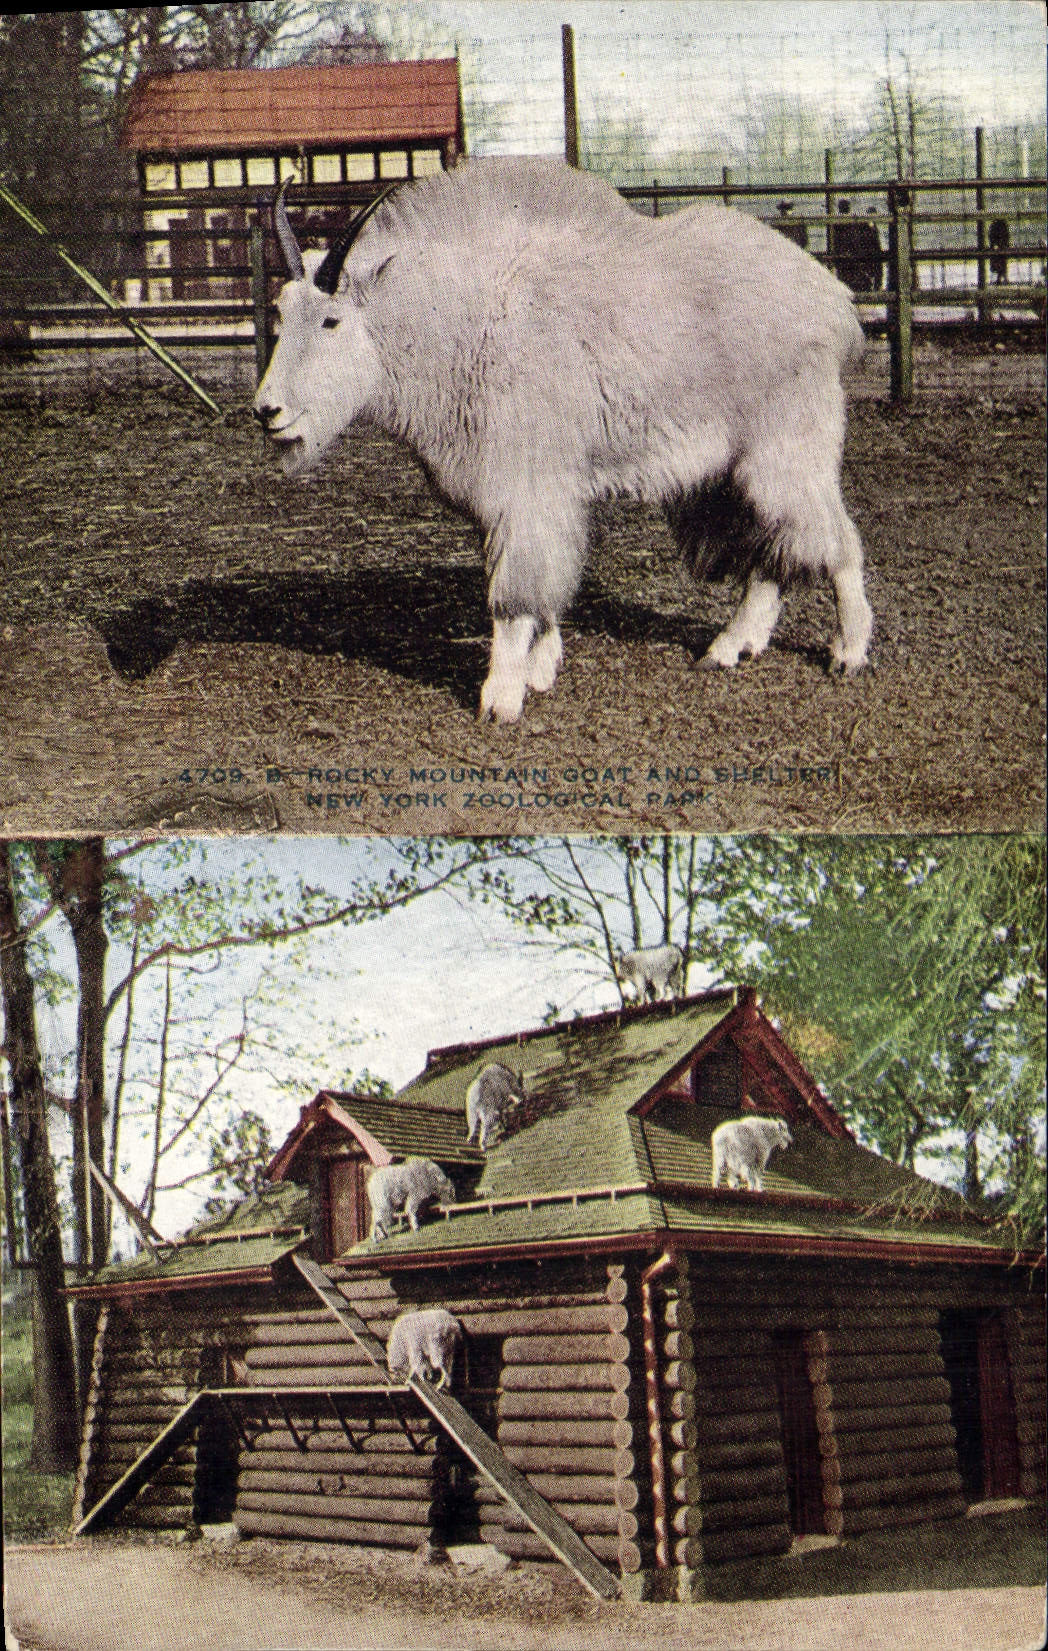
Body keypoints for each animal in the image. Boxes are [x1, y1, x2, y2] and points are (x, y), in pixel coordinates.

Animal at [255, 157, 872, 723]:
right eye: (281, 312)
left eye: (332, 321)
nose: (267, 412)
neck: (463, 322)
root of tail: (831, 299)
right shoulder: (530, 498)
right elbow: (548, 584)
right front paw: (541, 670)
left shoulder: (525, 487)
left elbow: (514, 594)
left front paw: (501, 698)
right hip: (735, 470)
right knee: (778, 549)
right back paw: (731, 646)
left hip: (785, 451)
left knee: (836, 539)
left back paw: (849, 651)